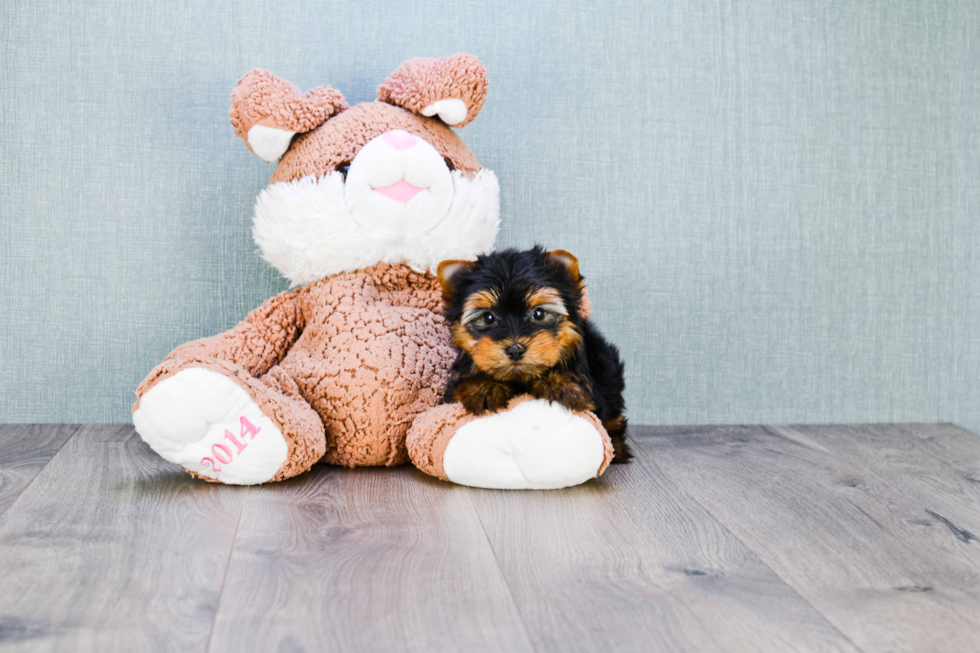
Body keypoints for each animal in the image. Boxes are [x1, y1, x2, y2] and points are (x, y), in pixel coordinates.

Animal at [440, 246, 632, 464]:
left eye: (538, 314)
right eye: (488, 318)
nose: (515, 349)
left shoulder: (591, 394)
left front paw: (561, 385)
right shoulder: (453, 390)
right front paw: (483, 387)